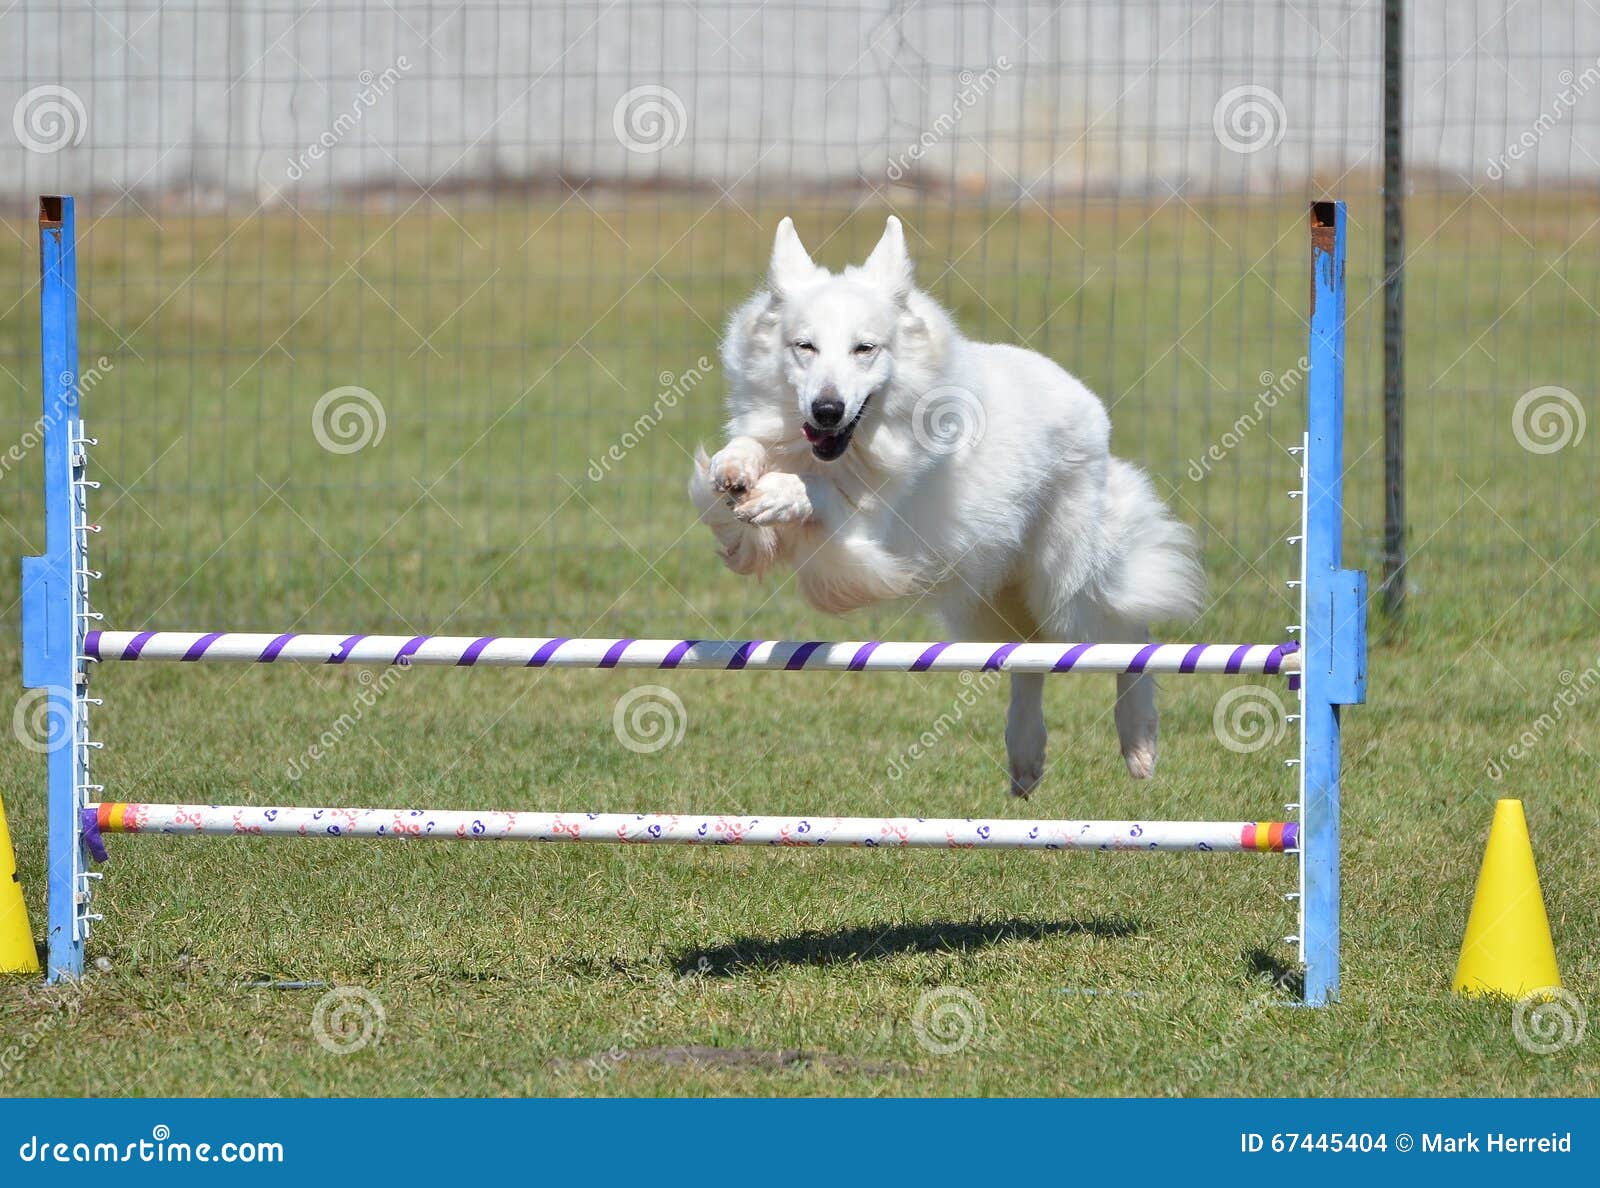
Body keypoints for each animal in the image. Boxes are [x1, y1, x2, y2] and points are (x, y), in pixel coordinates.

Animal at [688, 220, 1203, 800]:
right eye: (805, 346)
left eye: (865, 348)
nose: (827, 410)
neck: (864, 439)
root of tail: (1086, 400)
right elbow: (745, 468)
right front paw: (736, 468)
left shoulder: (870, 531)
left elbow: (815, 489)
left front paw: (776, 492)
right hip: (986, 594)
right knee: (1028, 657)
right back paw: (1026, 755)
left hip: (1063, 590)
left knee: (1131, 638)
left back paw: (1139, 742)